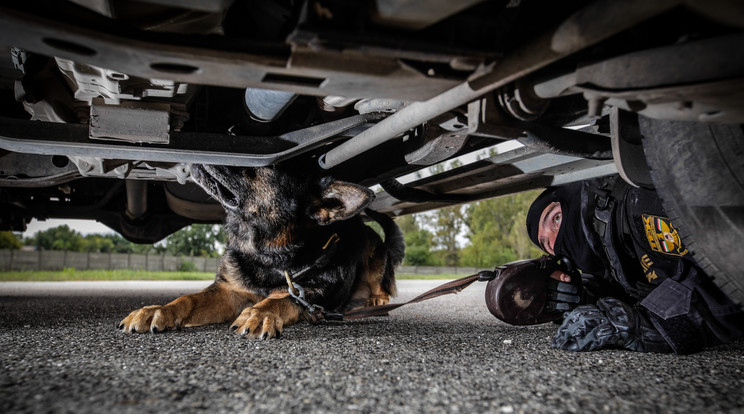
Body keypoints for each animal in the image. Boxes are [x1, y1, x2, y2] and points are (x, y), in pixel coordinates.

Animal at [118, 163, 404, 338]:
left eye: (269, 166)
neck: (268, 256)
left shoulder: (309, 296)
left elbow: (281, 299)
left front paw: (260, 313)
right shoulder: (228, 292)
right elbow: (188, 299)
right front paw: (158, 310)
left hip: (374, 257)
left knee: (382, 285)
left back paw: (377, 300)